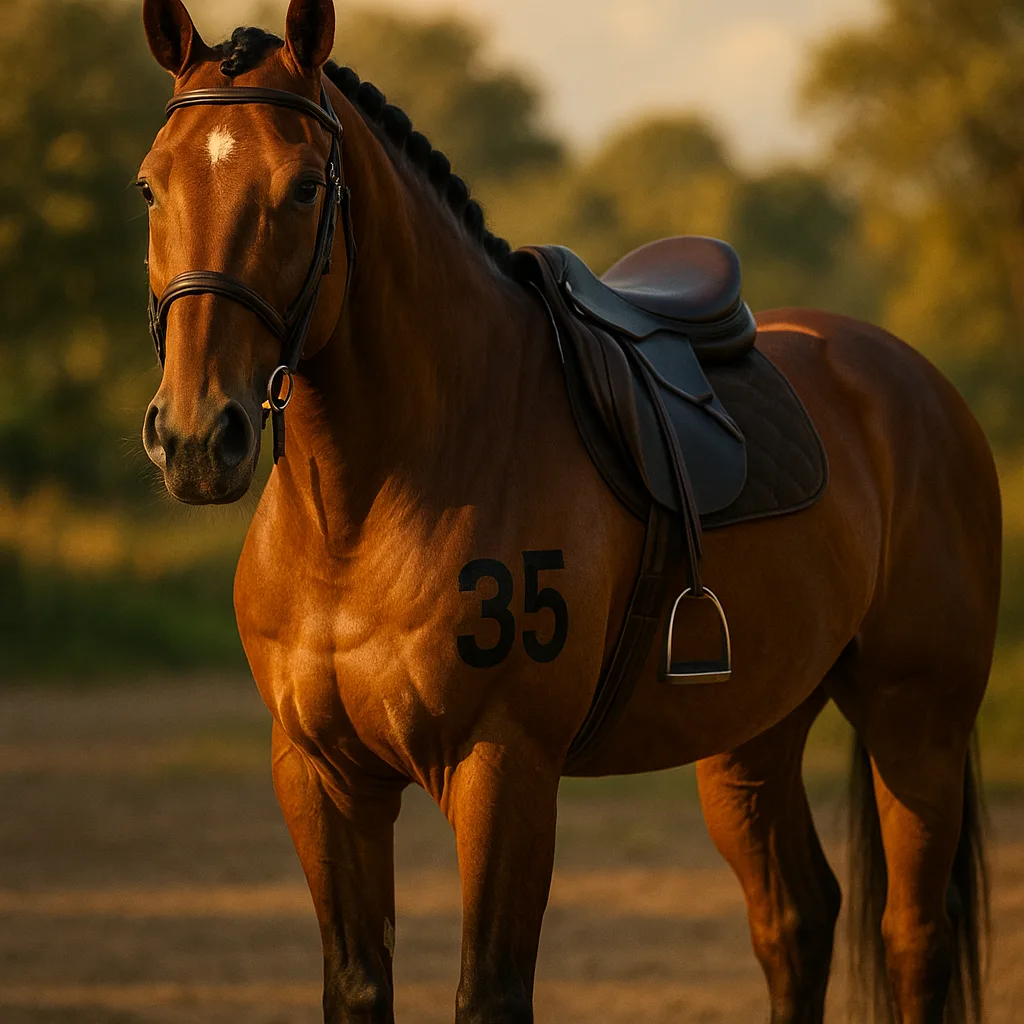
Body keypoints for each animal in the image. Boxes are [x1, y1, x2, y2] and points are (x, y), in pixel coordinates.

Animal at [137, 2, 1001, 1021]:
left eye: (306, 187)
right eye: (151, 187)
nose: (197, 436)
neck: (368, 505)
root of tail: (915, 381)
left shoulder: (503, 767)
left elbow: (490, 989)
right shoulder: (322, 777)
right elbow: (356, 986)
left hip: (918, 723)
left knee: (912, 937)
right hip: (754, 735)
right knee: (796, 918)